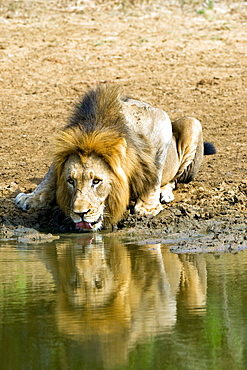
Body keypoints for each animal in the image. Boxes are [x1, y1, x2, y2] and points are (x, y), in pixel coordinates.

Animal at [14, 84, 215, 231]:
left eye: (96, 181)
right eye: (70, 181)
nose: (80, 213)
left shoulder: (161, 122)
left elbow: (155, 170)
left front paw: (148, 206)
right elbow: (50, 173)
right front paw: (32, 197)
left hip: (192, 123)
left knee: (174, 179)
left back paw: (164, 192)